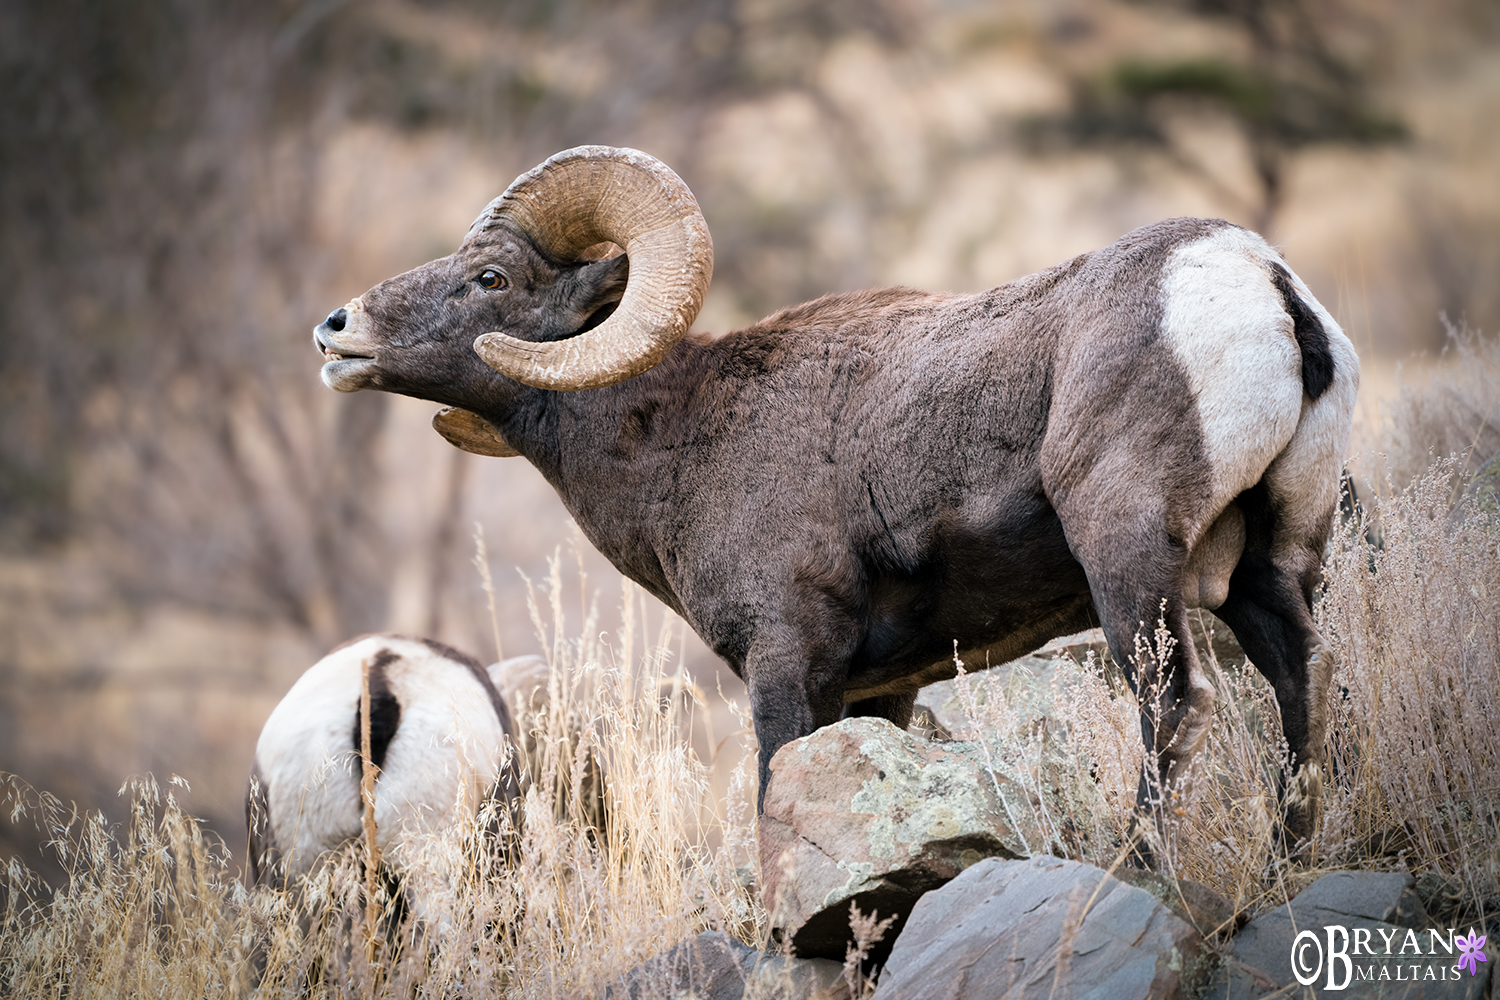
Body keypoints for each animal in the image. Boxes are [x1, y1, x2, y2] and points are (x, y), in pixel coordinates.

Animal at [313, 144, 1362, 857]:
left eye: (490, 278)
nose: (336, 330)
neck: (678, 434)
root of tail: (1261, 284)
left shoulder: (787, 664)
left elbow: (773, 794)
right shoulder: (882, 691)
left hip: (1130, 563)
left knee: (1175, 704)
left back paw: (1134, 864)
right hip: (1271, 562)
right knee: (1303, 680)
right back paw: (1286, 861)